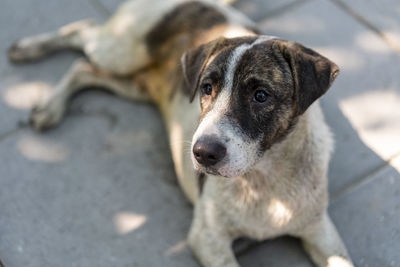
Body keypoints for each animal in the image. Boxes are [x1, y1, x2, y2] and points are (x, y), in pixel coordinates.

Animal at [8, 0, 354, 267]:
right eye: (207, 88)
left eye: (261, 95)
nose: (202, 153)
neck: (265, 179)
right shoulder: (208, 238)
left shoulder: (321, 231)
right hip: (120, 51)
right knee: (82, 34)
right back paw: (34, 64)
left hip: (133, 84)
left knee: (85, 68)